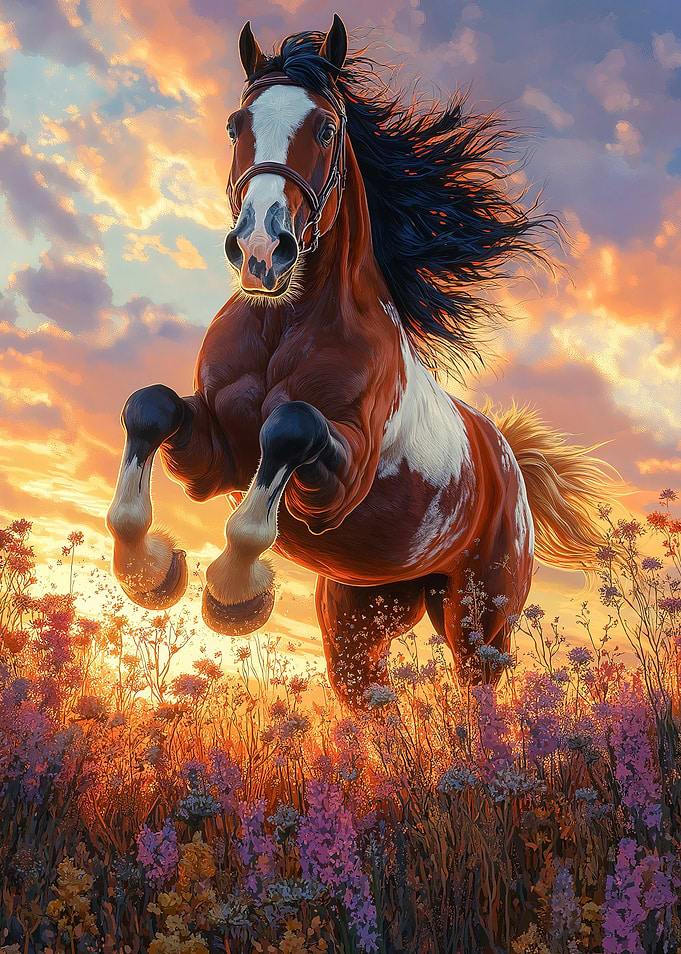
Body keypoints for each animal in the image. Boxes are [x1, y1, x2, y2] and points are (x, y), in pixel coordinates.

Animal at [106, 16, 611, 704]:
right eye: (237, 124)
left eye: (325, 128)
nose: (261, 250)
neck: (282, 321)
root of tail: (507, 456)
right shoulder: (211, 453)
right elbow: (149, 407)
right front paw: (152, 571)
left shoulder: (338, 482)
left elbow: (289, 428)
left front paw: (234, 595)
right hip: (361, 617)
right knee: (374, 700)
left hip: (479, 621)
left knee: (479, 693)